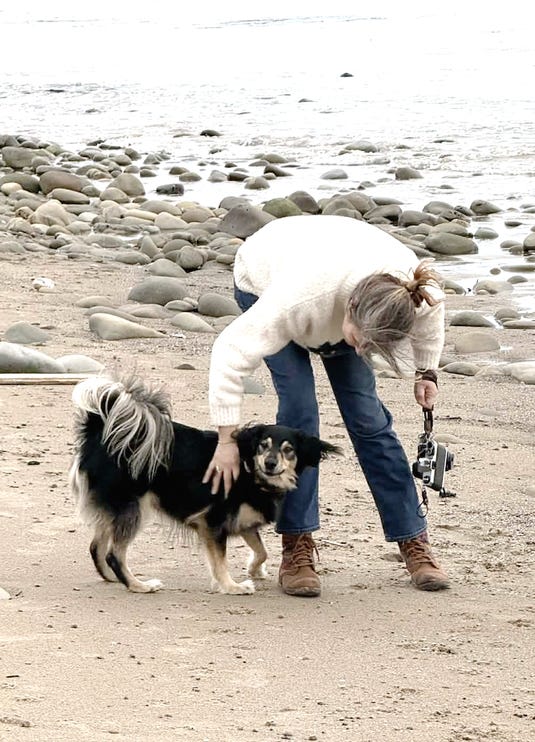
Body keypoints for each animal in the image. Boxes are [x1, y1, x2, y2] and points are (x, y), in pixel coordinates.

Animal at [69, 374, 340, 595]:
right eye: (263, 445)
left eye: (288, 450)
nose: (271, 463)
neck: (250, 472)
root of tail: (99, 433)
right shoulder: (212, 522)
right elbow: (220, 562)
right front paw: (231, 586)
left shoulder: (244, 523)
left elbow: (262, 550)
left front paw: (254, 570)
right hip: (133, 508)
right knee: (114, 554)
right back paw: (138, 585)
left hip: (117, 509)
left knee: (96, 546)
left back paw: (113, 578)